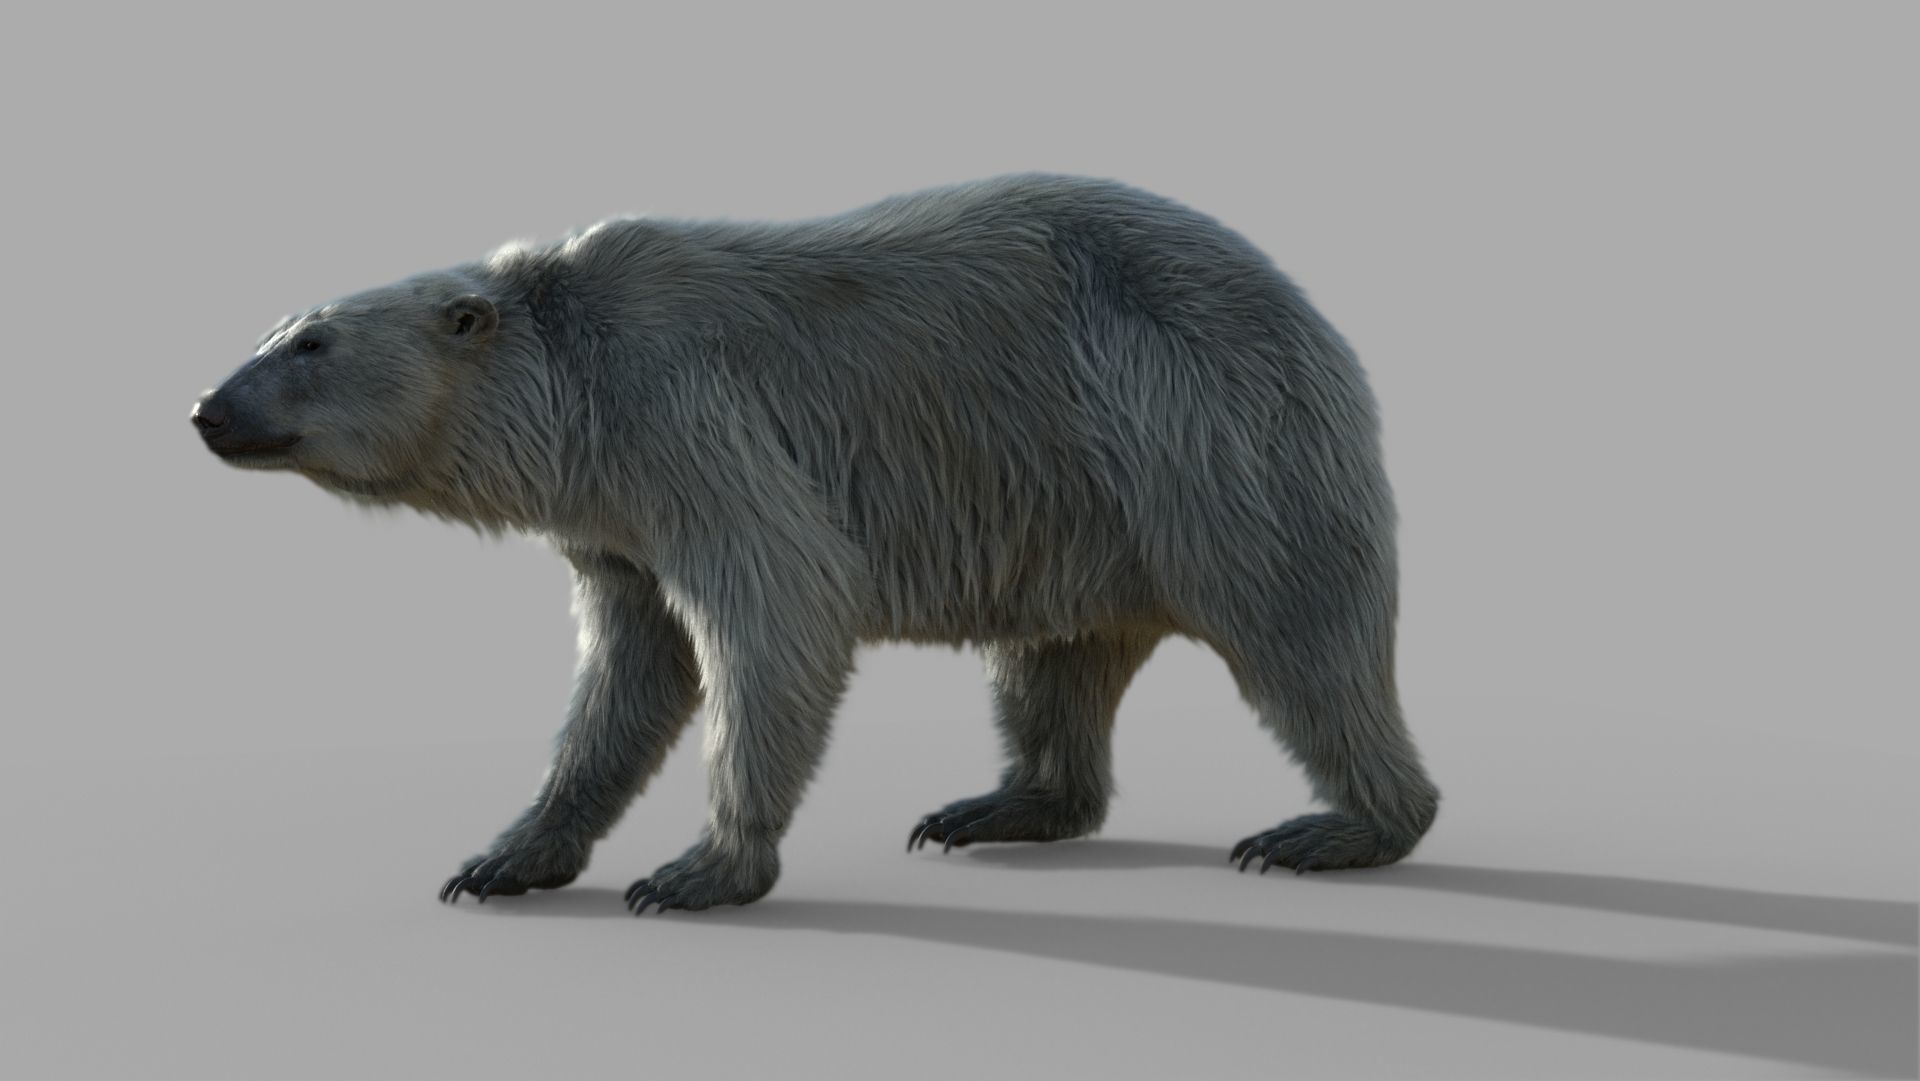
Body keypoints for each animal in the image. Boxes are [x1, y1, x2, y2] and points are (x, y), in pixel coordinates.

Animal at [192, 173, 1440, 914]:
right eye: (277, 323)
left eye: (312, 340)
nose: (206, 407)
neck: (570, 385)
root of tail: (1308, 310)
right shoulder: (614, 516)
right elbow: (628, 671)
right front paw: (505, 857)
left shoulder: (683, 416)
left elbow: (779, 602)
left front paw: (695, 870)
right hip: (1082, 509)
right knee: (1054, 664)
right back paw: (995, 808)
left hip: (1202, 434)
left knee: (1303, 631)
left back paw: (1333, 827)